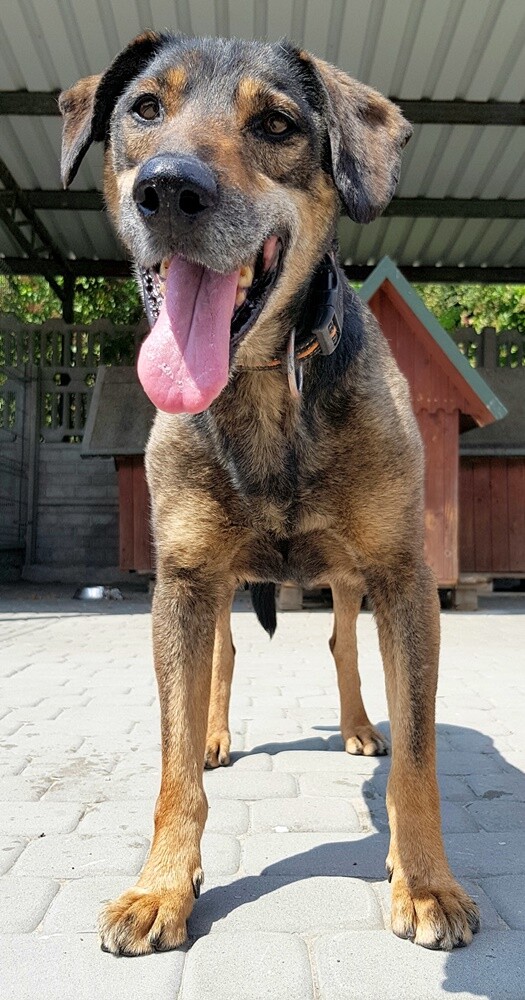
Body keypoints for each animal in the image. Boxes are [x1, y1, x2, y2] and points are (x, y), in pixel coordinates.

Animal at [59, 31, 479, 956]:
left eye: (277, 124)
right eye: (144, 109)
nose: (167, 189)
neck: (258, 381)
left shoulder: (403, 579)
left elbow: (419, 756)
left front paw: (425, 881)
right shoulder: (182, 580)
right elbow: (172, 761)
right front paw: (160, 886)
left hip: (352, 580)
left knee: (342, 649)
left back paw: (358, 727)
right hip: (216, 585)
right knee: (223, 657)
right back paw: (219, 736)